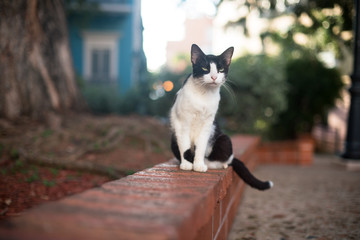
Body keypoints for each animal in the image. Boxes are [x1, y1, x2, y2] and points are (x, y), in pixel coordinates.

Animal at [170, 44, 272, 190]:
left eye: (221, 69)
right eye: (205, 68)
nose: (213, 77)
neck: (203, 94)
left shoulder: (207, 125)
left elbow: (201, 146)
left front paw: (198, 164)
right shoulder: (181, 122)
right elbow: (184, 145)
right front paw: (187, 164)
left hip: (225, 139)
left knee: (222, 160)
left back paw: (209, 163)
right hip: (173, 139)